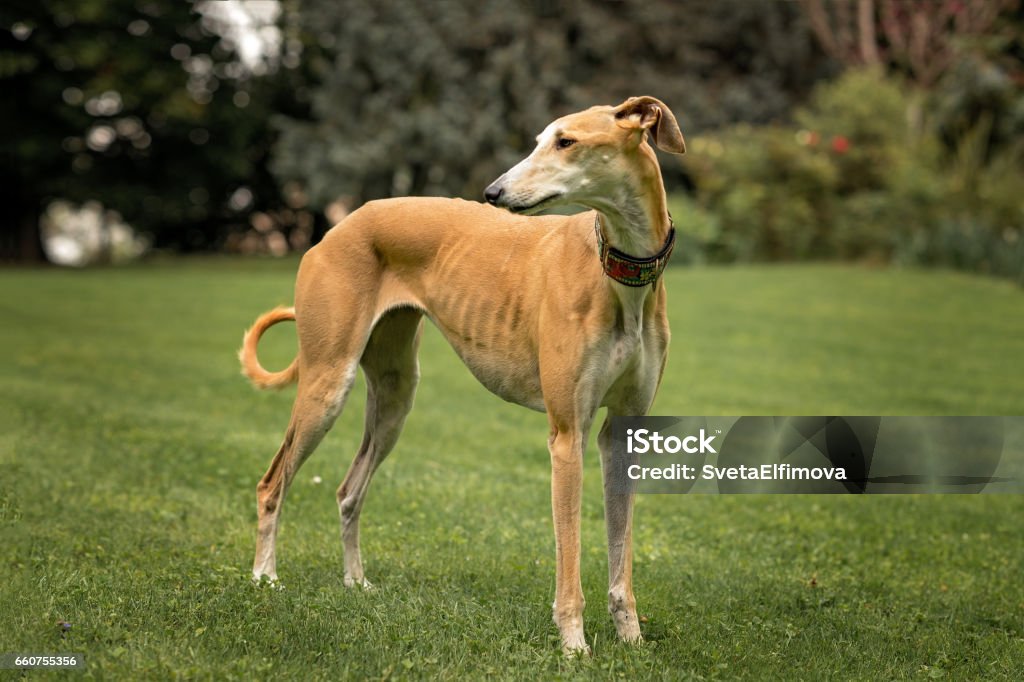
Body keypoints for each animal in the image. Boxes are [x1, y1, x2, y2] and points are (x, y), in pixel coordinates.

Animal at [238, 95, 684, 655]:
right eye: (541, 139)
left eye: (566, 141)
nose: (492, 193)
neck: (621, 273)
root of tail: (341, 225)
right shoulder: (567, 435)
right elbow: (570, 555)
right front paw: (574, 646)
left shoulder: (623, 430)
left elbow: (620, 550)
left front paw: (631, 640)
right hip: (327, 384)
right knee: (272, 482)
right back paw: (265, 577)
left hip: (395, 397)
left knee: (348, 491)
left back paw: (355, 582)